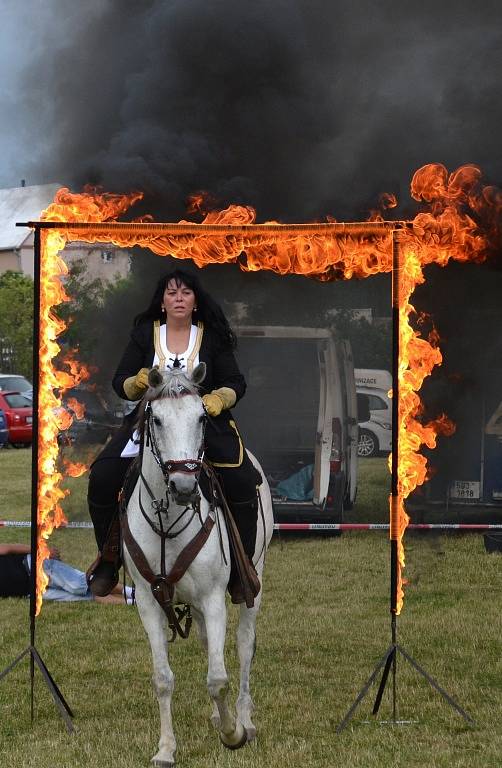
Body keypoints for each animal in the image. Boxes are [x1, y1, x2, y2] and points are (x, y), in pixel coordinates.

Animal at [122, 366, 274, 768]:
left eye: (202, 418)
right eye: (156, 420)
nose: (184, 486)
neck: (167, 521)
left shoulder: (213, 598)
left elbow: (217, 678)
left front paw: (232, 734)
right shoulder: (149, 603)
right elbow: (162, 678)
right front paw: (165, 748)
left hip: (254, 580)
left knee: (244, 644)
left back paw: (243, 719)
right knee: (209, 643)